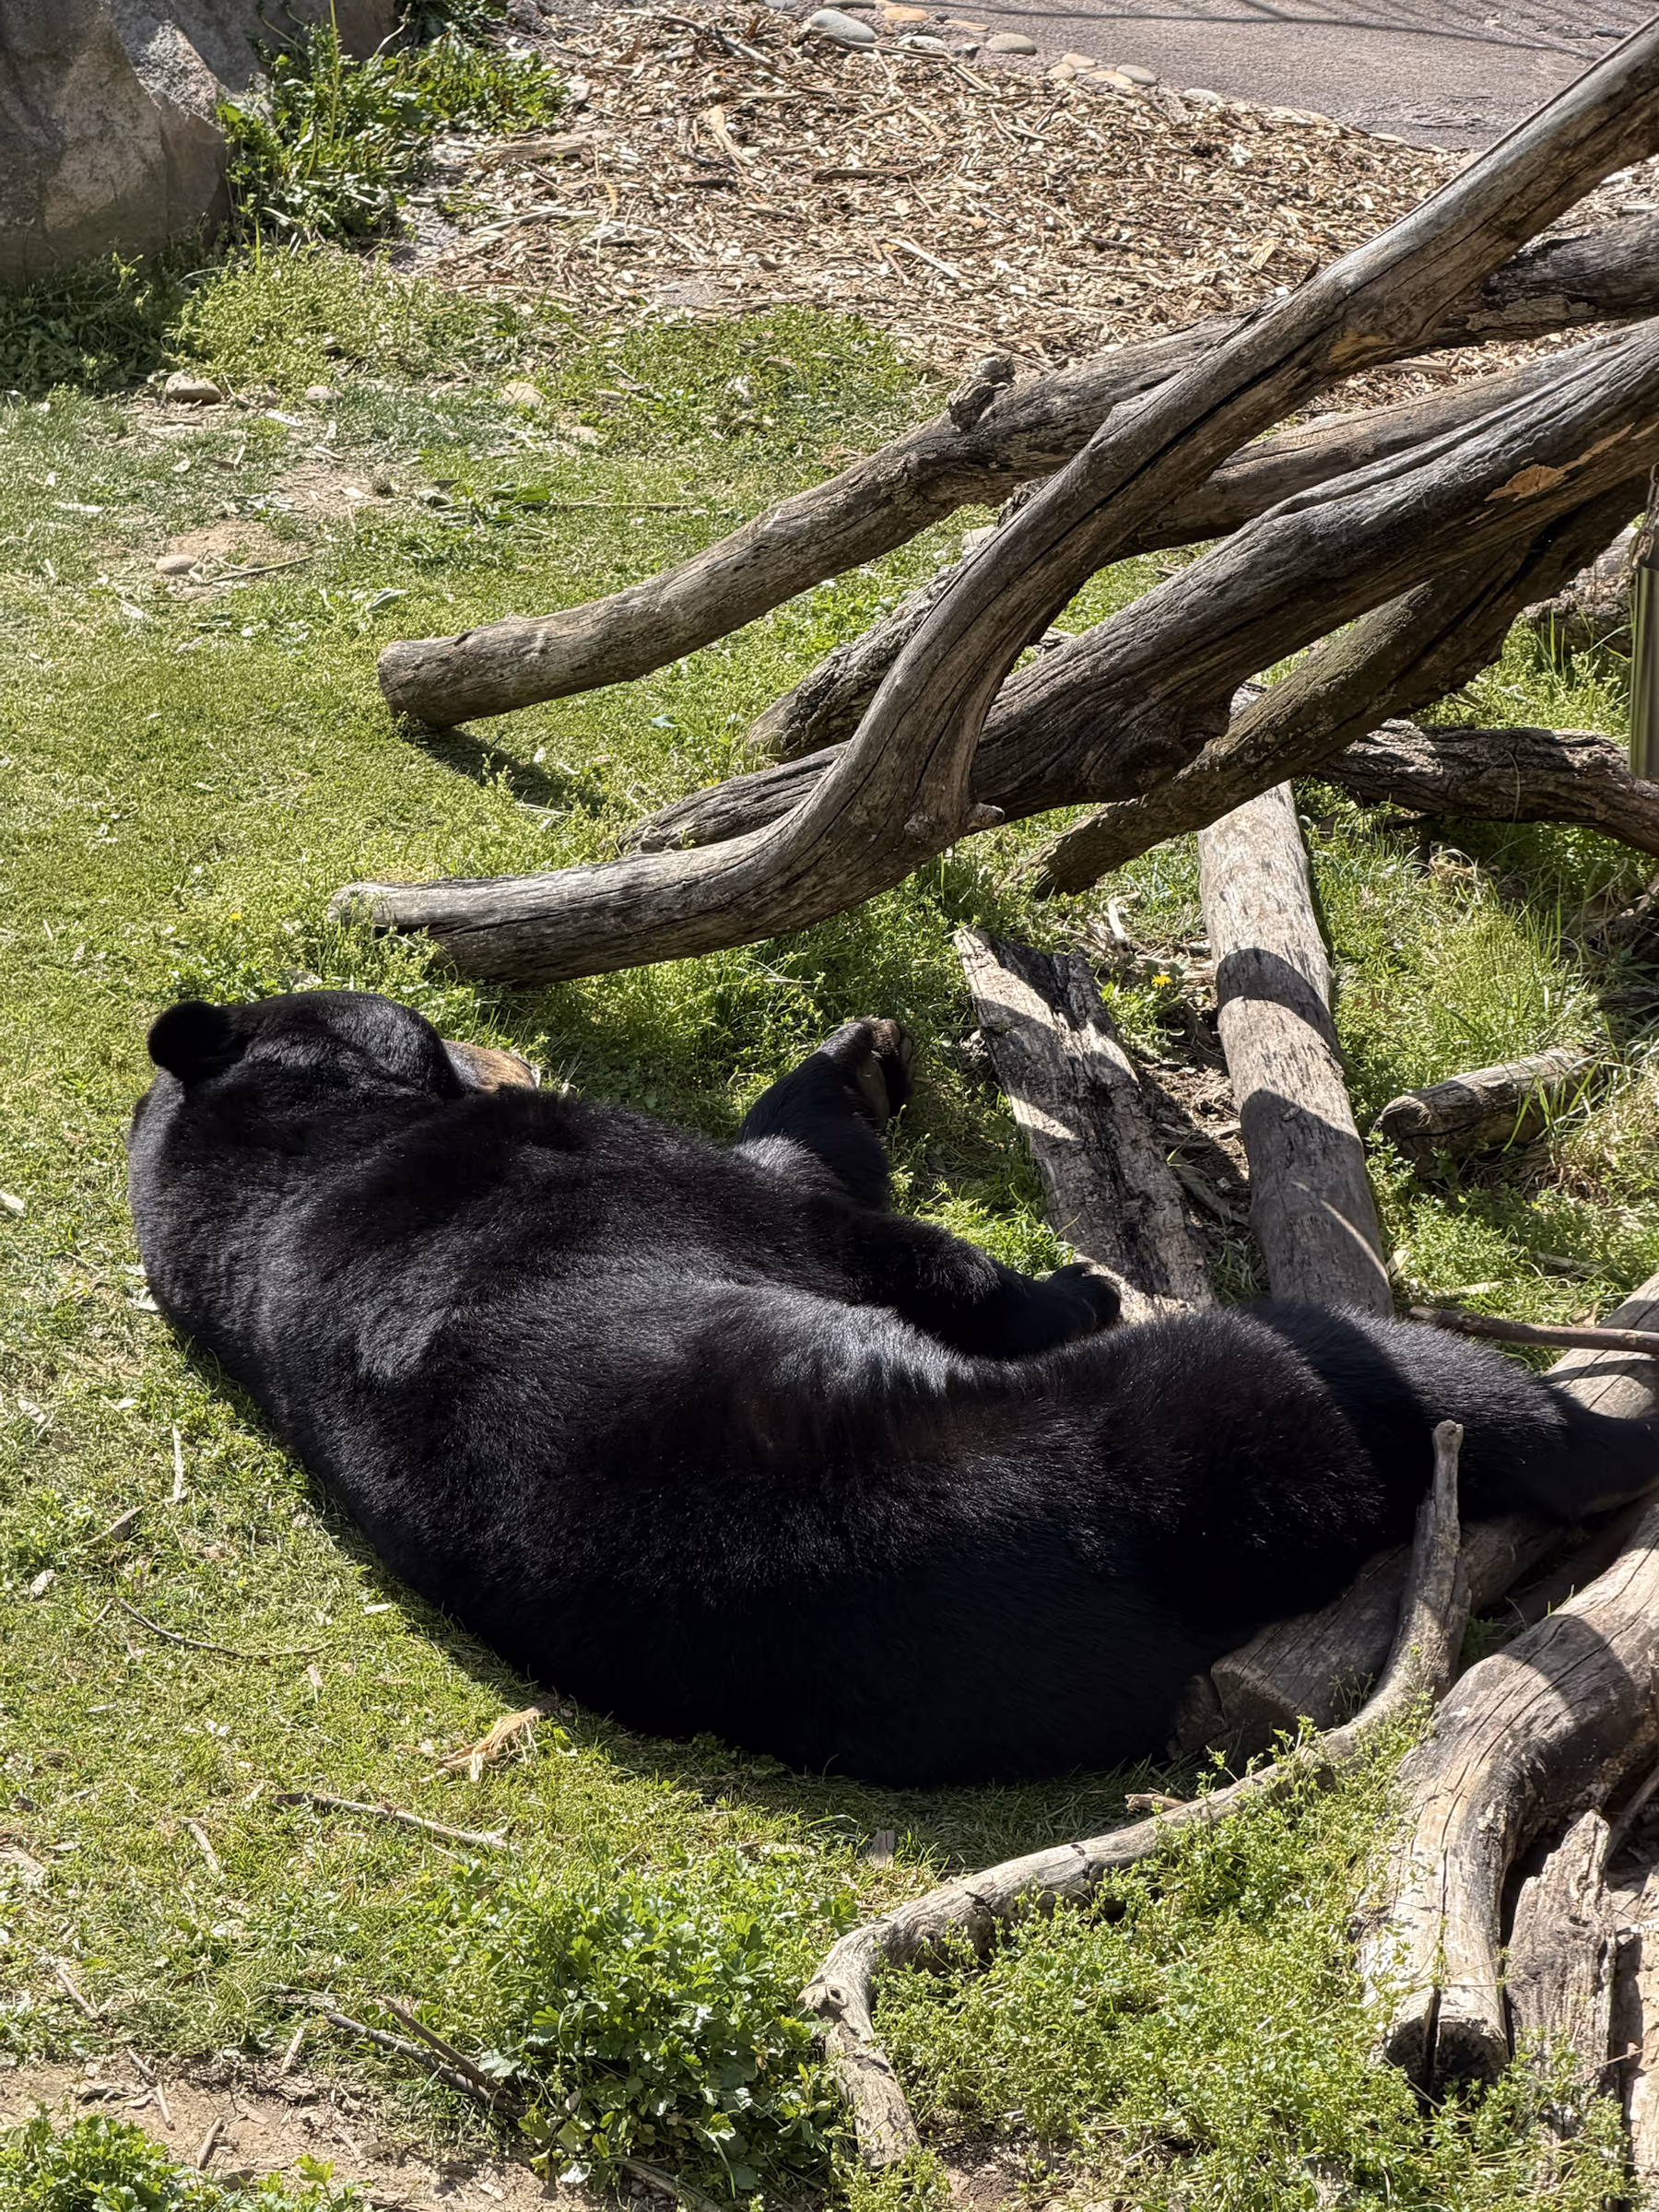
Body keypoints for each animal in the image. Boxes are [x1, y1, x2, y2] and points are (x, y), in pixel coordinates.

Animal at [126, 988, 1657, 1787]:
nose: (455, 1033)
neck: (293, 1164)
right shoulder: (597, 1164)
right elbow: (830, 1210)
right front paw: (1063, 1277)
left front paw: (866, 1052)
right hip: (1223, 1407)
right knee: (1402, 1381)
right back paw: (1604, 1425)